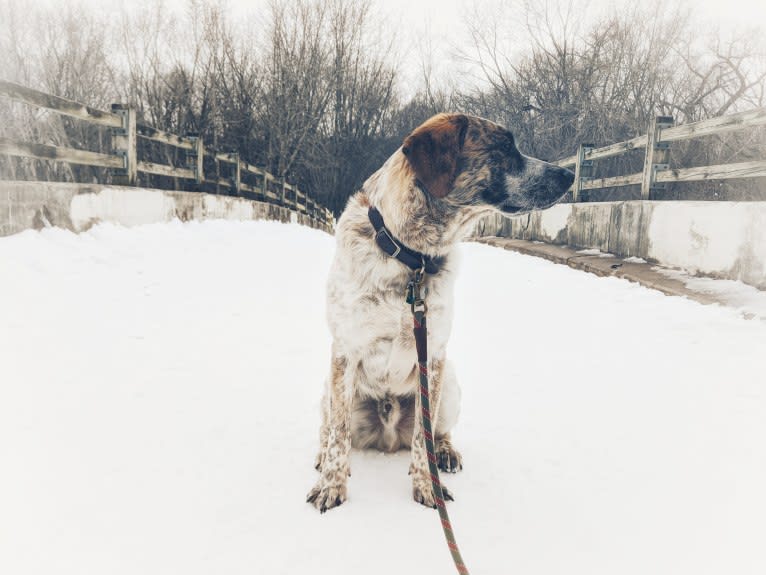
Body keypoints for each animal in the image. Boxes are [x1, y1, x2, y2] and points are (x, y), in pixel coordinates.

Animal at [308, 112, 572, 512]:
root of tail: (388, 435)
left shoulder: (432, 356)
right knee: (331, 429)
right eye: (503, 147)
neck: (411, 257)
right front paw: (331, 485)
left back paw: (446, 453)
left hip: (450, 386)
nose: (568, 175)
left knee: (438, 432)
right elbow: (339, 435)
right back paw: (324, 456)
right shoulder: (346, 351)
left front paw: (426, 486)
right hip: (330, 388)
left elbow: (424, 436)